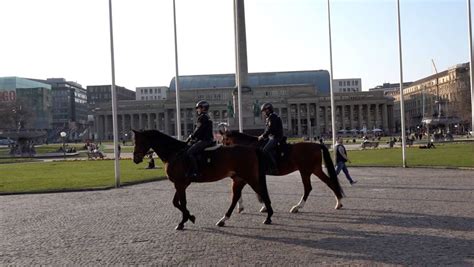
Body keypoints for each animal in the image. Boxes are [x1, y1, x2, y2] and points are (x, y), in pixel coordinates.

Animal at [132, 130, 274, 230]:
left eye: (139, 142)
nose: (135, 159)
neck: (175, 152)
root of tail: (252, 149)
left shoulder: (180, 184)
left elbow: (181, 203)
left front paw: (185, 220)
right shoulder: (181, 184)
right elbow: (176, 202)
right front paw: (188, 218)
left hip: (250, 177)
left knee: (261, 192)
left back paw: (268, 216)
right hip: (239, 179)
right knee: (236, 197)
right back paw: (223, 219)